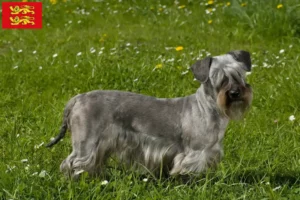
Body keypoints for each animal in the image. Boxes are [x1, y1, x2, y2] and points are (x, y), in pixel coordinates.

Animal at [46, 50, 253, 178]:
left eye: (239, 74)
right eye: (218, 78)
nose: (235, 93)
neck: (207, 108)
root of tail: (76, 99)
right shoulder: (194, 153)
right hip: (86, 143)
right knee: (72, 163)